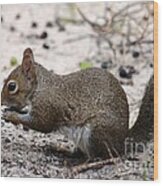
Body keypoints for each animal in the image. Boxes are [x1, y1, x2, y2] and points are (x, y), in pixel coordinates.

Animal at [0, 48, 153, 159]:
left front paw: (11, 116)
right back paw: (61, 150)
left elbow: (41, 124)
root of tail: (123, 141)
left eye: (12, 86)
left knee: (101, 156)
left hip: (96, 132)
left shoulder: (47, 107)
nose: (1, 101)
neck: (39, 87)